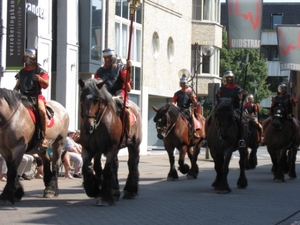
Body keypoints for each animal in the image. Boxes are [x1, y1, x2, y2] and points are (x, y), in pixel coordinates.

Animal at [78, 77, 142, 206]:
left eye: (97, 100)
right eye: (82, 98)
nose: (88, 127)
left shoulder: (111, 148)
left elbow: (107, 170)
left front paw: (104, 197)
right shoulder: (88, 149)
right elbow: (87, 168)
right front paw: (92, 189)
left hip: (134, 145)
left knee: (132, 163)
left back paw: (130, 191)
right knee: (114, 165)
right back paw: (115, 191)